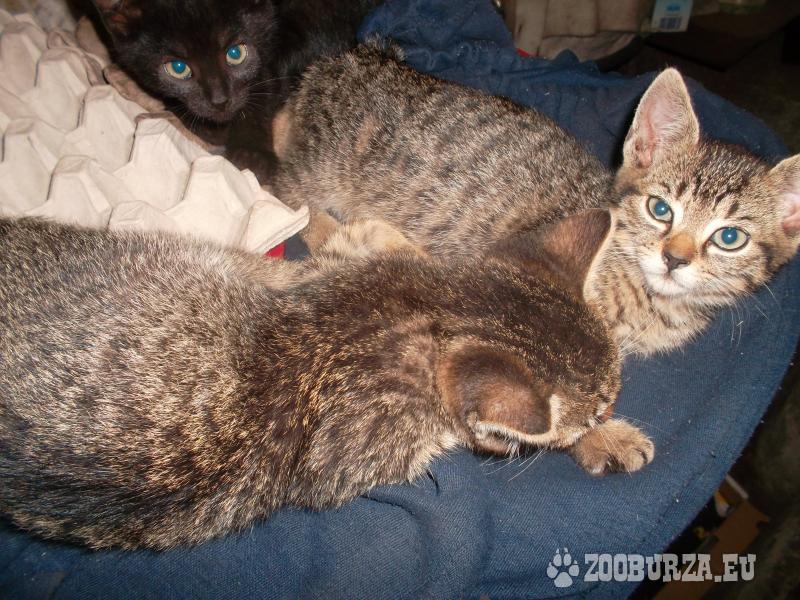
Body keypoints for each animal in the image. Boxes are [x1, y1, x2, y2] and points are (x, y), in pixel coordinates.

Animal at [271, 43, 800, 357]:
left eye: (729, 238)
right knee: (287, 189)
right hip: (323, 166)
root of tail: (355, 55)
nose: (674, 258)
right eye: (660, 209)